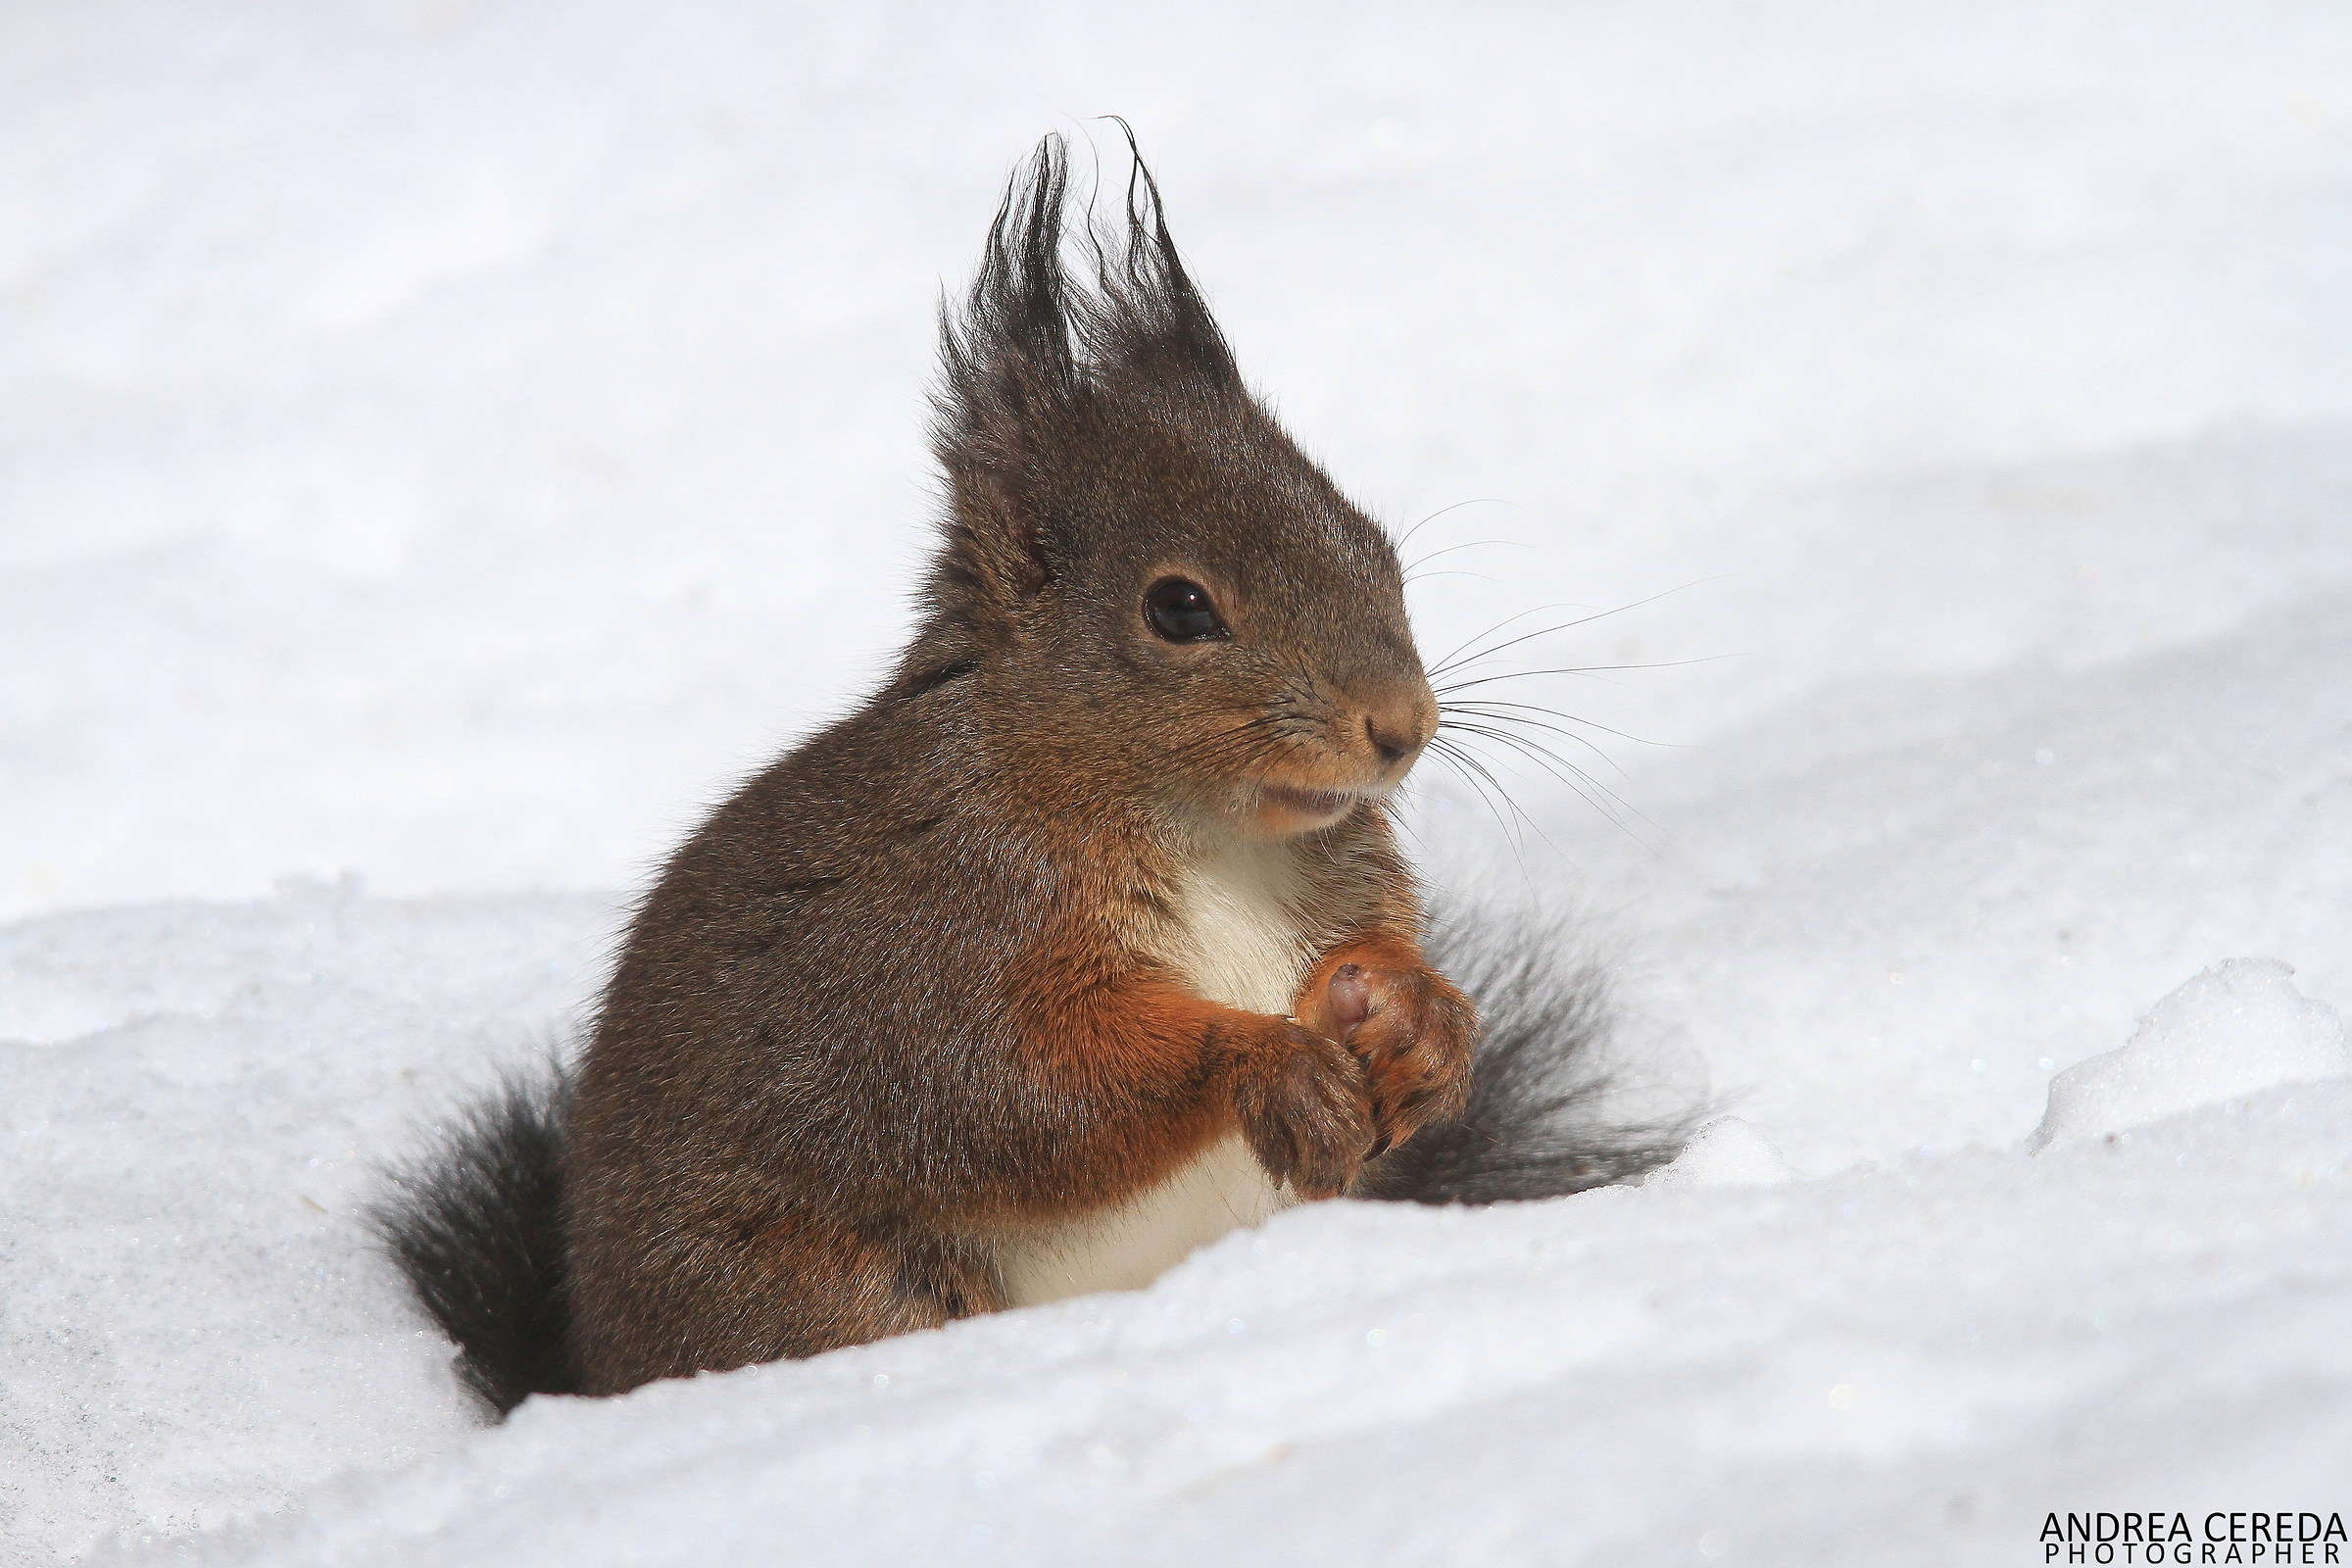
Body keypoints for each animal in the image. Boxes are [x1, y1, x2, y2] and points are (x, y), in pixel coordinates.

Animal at [375, 130, 1684, 1418]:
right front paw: (1261, 1060)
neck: (1212, 834)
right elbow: (1018, 1087)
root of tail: (598, 1369)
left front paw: (1419, 1021)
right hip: (836, 1291)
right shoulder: (936, 935)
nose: (1402, 726)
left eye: (1376, 548)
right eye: (1179, 608)